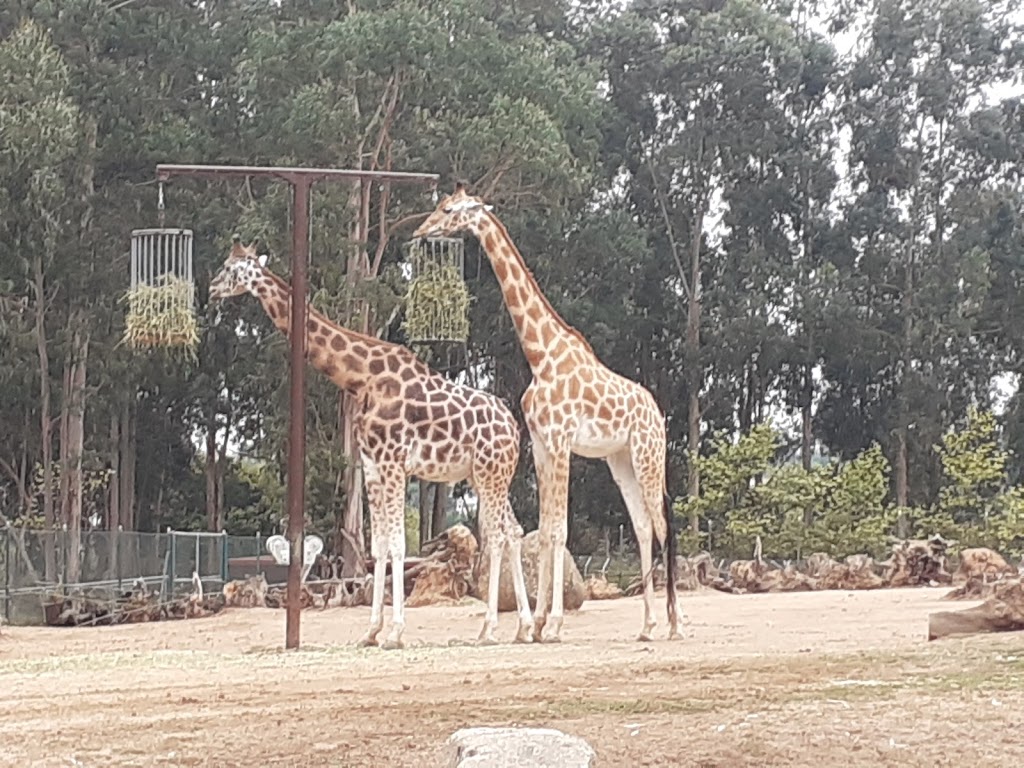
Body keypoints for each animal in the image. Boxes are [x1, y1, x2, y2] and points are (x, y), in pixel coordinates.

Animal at [203, 236, 532, 651]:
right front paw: (371, 631)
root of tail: (514, 429)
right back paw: (524, 627)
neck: (361, 379)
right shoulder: (373, 465)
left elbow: (398, 545)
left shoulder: (393, 463)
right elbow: (377, 547)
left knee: (499, 534)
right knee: (515, 531)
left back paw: (489, 629)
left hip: (490, 475)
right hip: (485, 475)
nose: (211, 288)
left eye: (231, 269)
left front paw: (395, 633)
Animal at [411, 186, 684, 643]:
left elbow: (558, 530)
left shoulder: (560, 441)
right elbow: (542, 530)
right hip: (620, 459)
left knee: (661, 524)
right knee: (643, 525)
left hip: (648, 455)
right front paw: (534, 625)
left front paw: (552, 624)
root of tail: (656, 411)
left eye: (447, 210)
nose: (420, 230)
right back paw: (647, 624)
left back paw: (675, 622)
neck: (540, 355)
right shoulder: (539, 444)